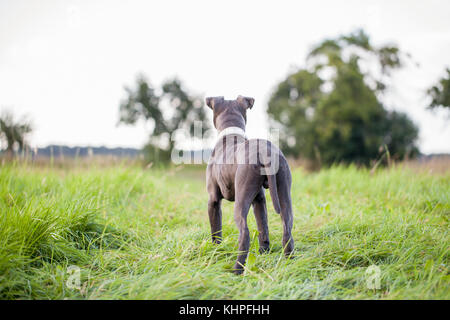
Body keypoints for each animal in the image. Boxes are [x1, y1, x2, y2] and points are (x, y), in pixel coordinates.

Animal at [205, 95, 296, 276]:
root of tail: (266, 152)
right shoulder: (259, 200)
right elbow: (263, 227)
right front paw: (264, 252)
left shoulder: (213, 201)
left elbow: (216, 230)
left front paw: (216, 250)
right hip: (283, 193)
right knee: (286, 228)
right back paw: (289, 260)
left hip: (241, 201)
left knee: (244, 234)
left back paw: (237, 269)